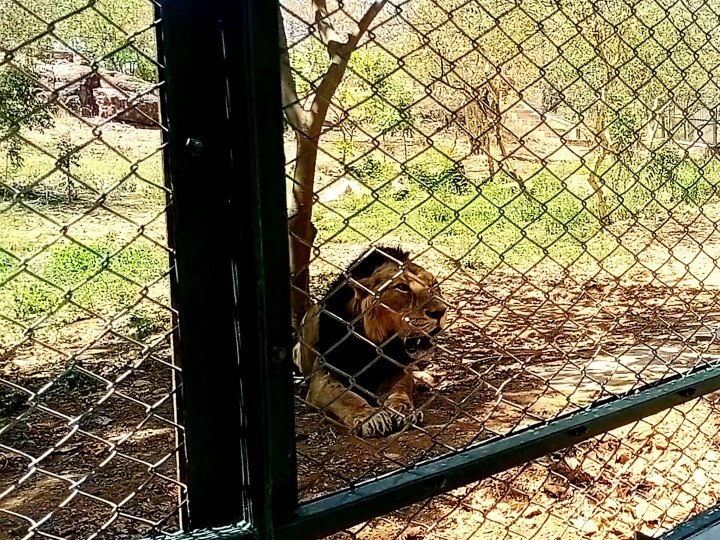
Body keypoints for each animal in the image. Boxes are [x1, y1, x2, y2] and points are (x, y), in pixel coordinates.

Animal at [292, 247, 444, 436]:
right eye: (402, 287)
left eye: (434, 285)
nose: (441, 311)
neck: (375, 346)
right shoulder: (323, 375)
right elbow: (346, 396)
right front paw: (370, 417)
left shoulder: (397, 368)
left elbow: (400, 390)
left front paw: (403, 411)